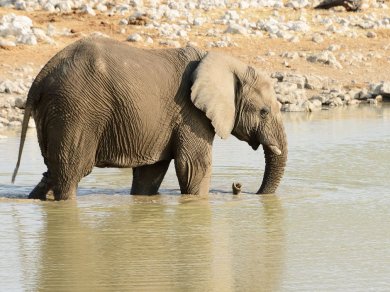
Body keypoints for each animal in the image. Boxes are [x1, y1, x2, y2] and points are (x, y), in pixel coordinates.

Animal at [12, 36, 288, 201]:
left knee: (52, 170)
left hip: (58, 112)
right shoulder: (190, 113)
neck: (223, 61)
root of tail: (40, 78)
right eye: (264, 112)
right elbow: (194, 167)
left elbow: (150, 173)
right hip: (76, 110)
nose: (238, 187)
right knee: (71, 172)